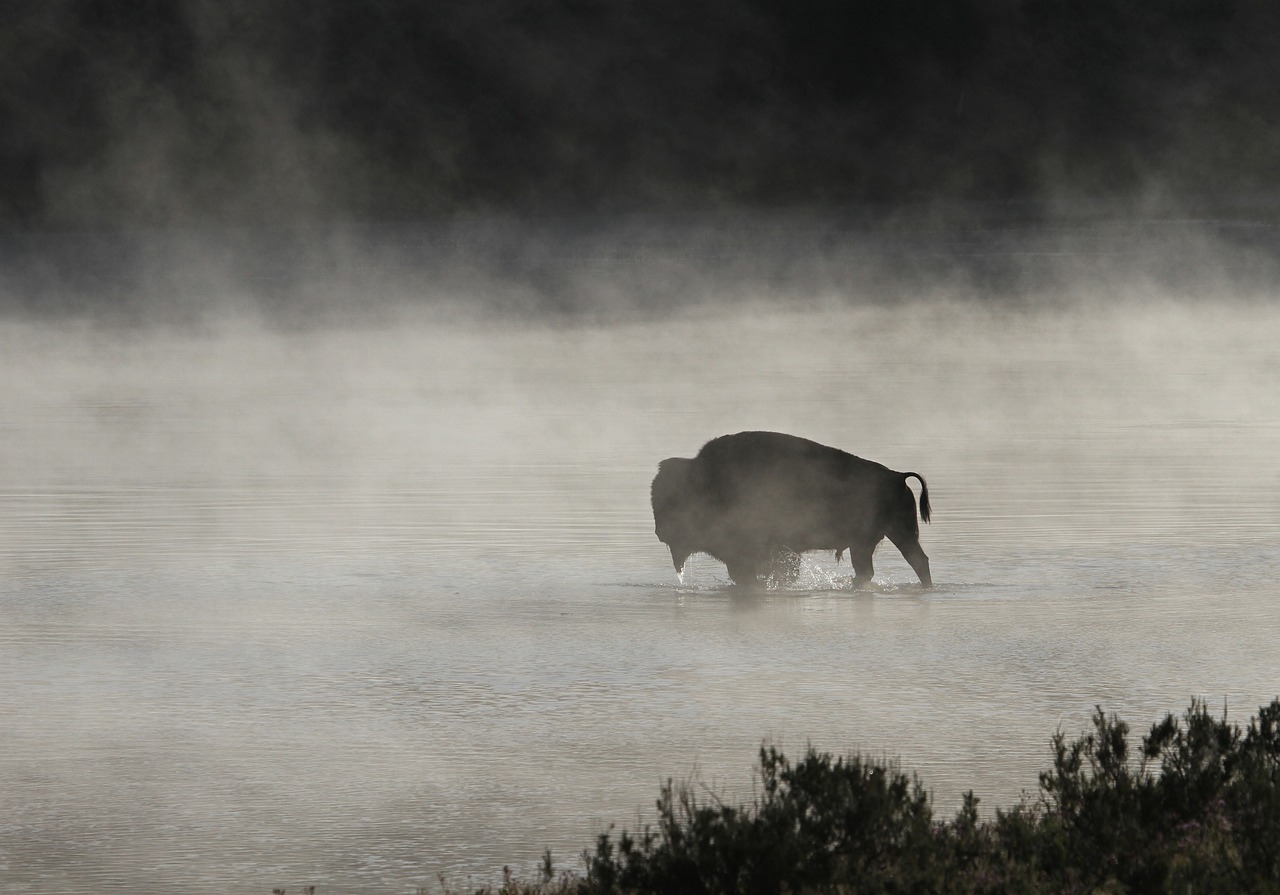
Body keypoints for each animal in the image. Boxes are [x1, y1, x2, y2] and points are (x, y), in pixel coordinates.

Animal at [650, 432, 931, 588]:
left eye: (672, 501)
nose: (660, 532)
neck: (708, 480)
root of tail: (896, 477)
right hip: (886, 538)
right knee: (911, 563)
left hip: (881, 539)